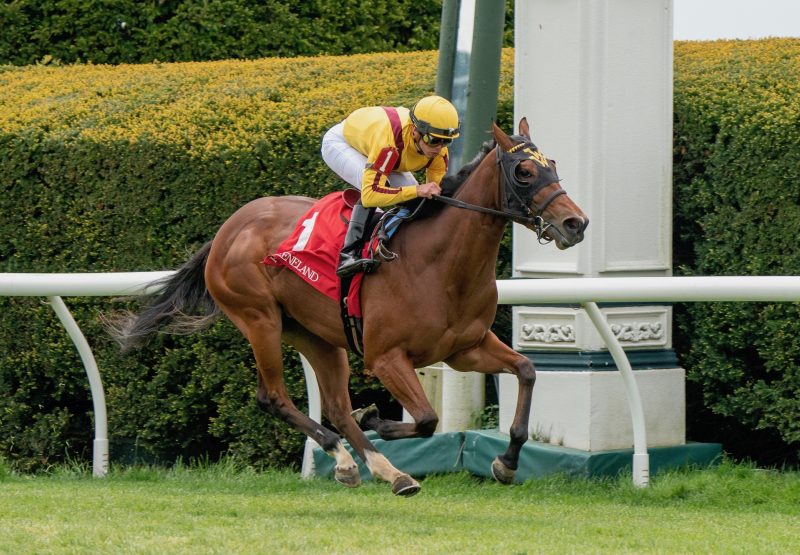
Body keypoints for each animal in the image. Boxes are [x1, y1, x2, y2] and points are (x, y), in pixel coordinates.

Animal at [112, 119, 588, 498]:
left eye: (553, 164)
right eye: (524, 171)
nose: (576, 223)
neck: (442, 264)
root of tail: (228, 229)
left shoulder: (465, 349)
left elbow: (526, 370)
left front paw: (506, 463)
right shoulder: (386, 357)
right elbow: (427, 419)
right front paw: (378, 416)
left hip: (317, 335)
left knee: (337, 407)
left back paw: (374, 467)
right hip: (259, 320)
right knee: (274, 397)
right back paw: (369, 465)